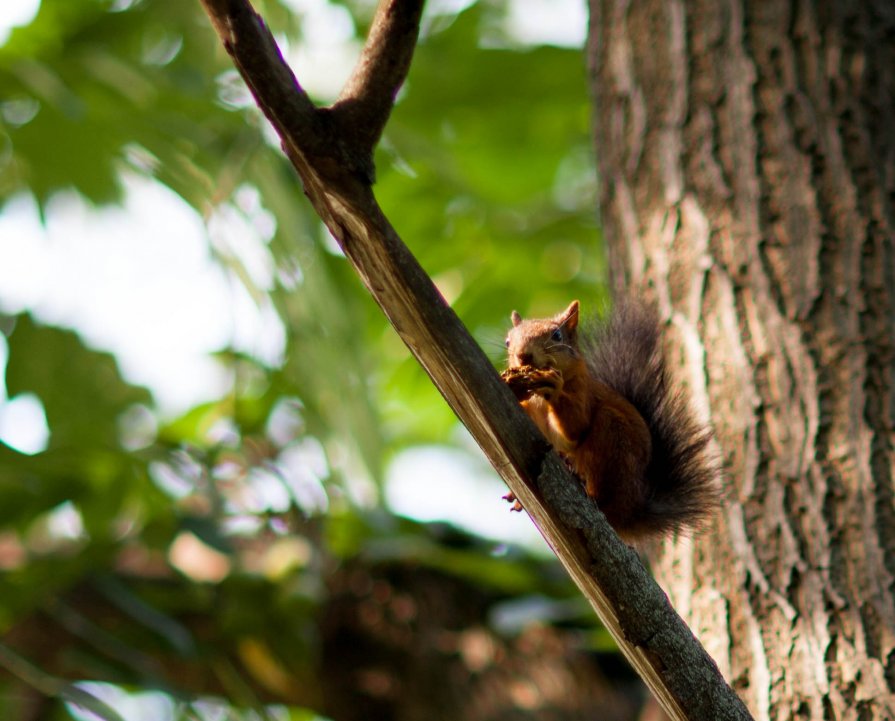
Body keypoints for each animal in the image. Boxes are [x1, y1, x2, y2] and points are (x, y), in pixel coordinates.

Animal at [504, 298, 720, 540]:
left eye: (557, 335)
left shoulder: (584, 394)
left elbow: (575, 428)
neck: (539, 400)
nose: (523, 355)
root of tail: (630, 513)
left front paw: (554, 387)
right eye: (508, 341)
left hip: (612, 437)